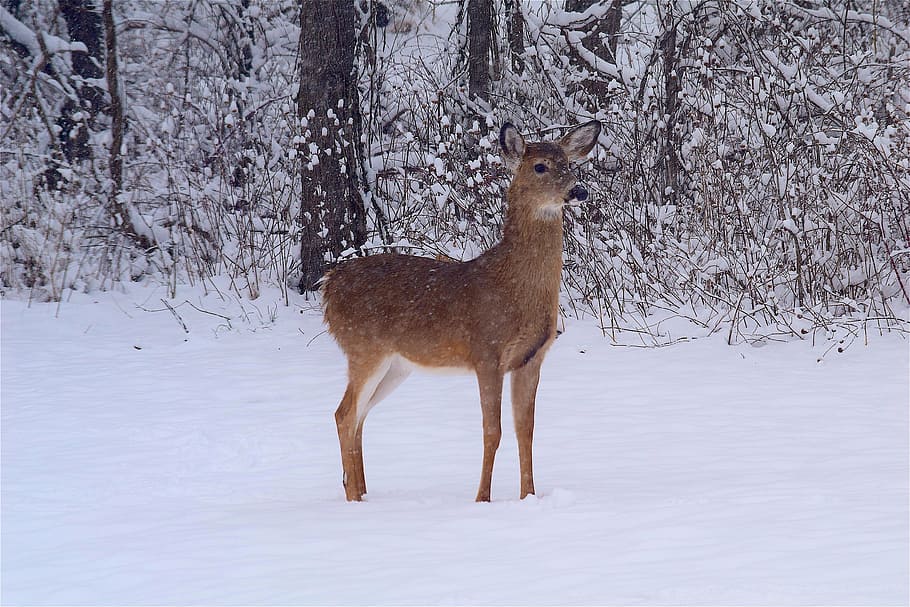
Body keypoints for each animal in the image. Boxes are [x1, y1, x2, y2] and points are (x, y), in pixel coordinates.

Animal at [322, 119, 602, 502]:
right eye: (540, 166)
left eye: (570, 164)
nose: (579, 191)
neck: (513, 287)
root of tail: (329, 284)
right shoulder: (487, 351)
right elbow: (492, 431)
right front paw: (482, 498)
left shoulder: (532, 358)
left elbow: (525, 430)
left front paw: (528, 497)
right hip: (364, 347)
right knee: (344, 414)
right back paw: (353, 499)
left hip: (395, 365)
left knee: (360, 416)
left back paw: (362, 492)